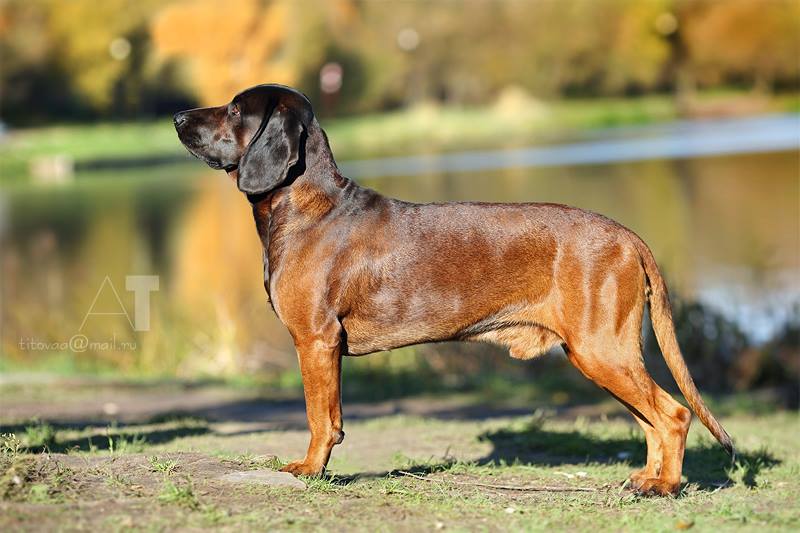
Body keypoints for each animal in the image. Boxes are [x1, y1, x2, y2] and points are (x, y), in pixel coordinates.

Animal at [174, 84, 734, 496]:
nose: (178, 117)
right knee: (653, 420)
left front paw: (311, 469)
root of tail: (629, 236)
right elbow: (328, 415)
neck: (308, 206)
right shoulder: (322, 346)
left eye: (234, 109)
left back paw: (666, 486)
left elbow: (320, 418)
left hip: (602, 351)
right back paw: (649, 478)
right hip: (601, 355)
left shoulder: (315, 340)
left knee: (674, 415)